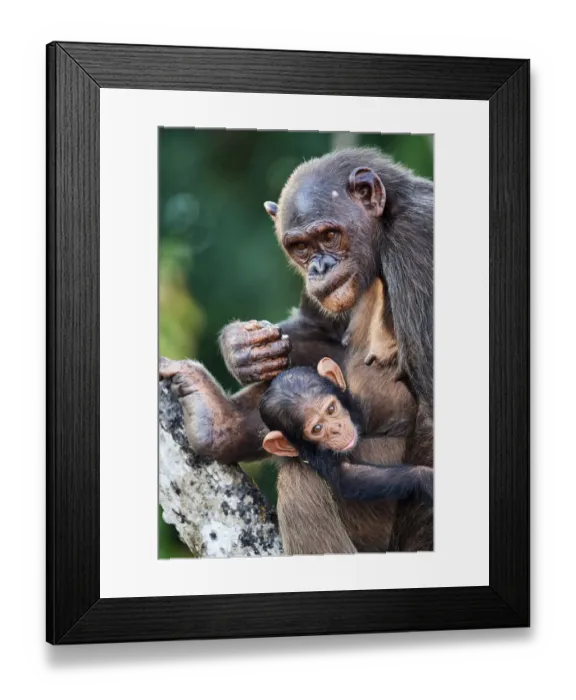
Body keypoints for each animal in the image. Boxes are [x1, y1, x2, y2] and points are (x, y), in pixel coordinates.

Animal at [259, 357, 433, 506]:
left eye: (331, 409)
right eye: (317, 428)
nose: (337, 428)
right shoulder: (319, 458)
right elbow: (347, 477)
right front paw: (425, 478)